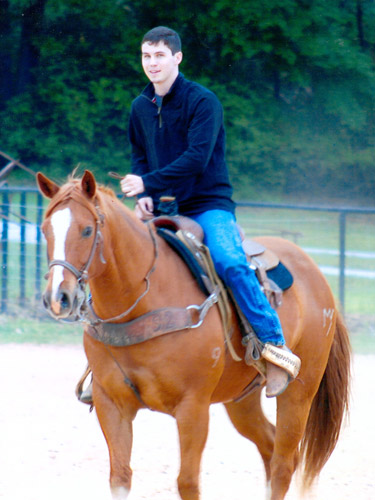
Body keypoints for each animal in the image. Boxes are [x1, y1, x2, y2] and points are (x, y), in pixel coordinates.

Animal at [36, 172, 352, 500]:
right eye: (45, 230)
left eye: (87, 230)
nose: (58, 297)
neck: (145, 301)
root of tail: (316, 274)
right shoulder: (111, 404)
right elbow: (120, 477)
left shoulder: (193, 408)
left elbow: (187, 482)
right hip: (242, 400)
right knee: (269, 445)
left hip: (300, 392)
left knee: (282, 466)